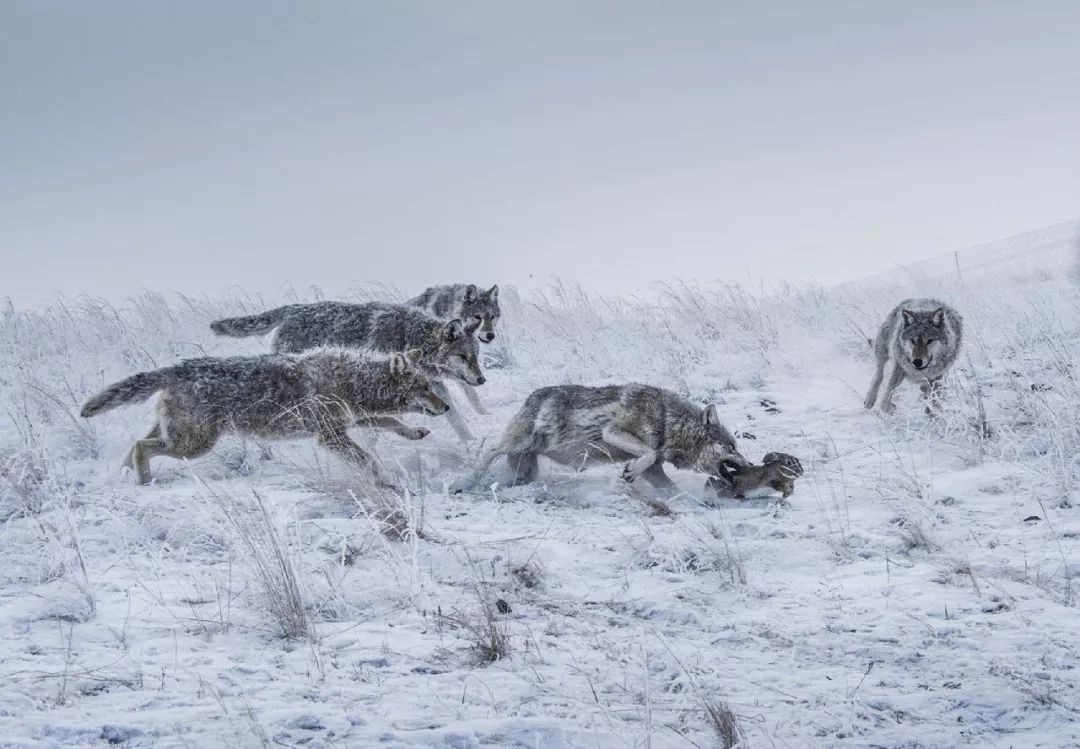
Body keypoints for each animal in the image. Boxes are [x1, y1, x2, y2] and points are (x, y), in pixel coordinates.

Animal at [78, 347, 444, 487]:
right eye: (426, 387)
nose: (447, 407)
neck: (354, 381)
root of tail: (173, 368)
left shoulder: (355, 419)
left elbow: (395, 423)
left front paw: (415, 432)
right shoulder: (332, 436)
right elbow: (368, 459)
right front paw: (387, 480)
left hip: (178, 438)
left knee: (134, 445)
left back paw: (127, 478)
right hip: (193, 446)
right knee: (141, 446)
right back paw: (145, 482)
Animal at [209, 300, 486, 440]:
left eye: (476, 357)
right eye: (463, 356)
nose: (482, 379)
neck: (410, 336)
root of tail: (292, 309)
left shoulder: (433, 385)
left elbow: (456, 418)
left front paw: (471, 442)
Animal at [468, 386, 747, 492]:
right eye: (733, 447)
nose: (751, 465)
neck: (668, 420)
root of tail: (531, 397)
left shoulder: (655, 471)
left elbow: (669, 486)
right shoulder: (611, 432)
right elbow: (649, 453)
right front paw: (629, 471)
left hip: (527, 459)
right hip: (517, 442)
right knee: (489, 449)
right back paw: (472, 479)